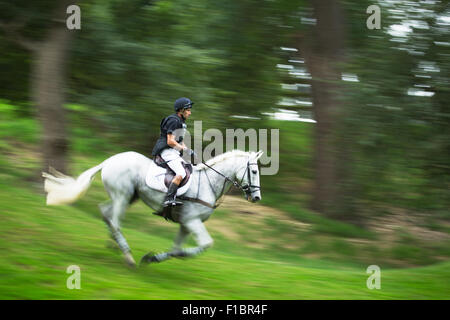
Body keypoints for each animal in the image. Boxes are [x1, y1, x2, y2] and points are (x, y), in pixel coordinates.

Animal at [41, 150, 264, 268]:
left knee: (105, 213)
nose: (256, 198)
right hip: (122, 196)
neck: (208, 183)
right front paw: (149, 257)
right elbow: (205, 245)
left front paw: (152, 258)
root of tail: (110, 160)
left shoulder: (185, 224)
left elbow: (177, 250)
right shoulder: (192, 221)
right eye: (254, 171)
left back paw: (114, 244)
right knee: (115, 221)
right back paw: (127, 255)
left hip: (127, 197)